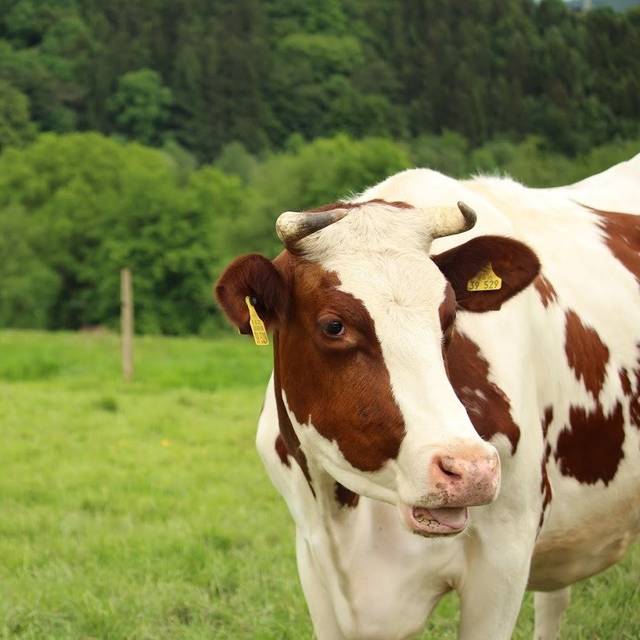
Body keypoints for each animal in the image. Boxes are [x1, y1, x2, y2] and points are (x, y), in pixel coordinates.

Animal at [215, 153, 640, 640]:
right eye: (333, 325)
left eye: (450, 315)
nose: (471, 470)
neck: (349, 521)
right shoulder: (314, 558)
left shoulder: (504, 555)